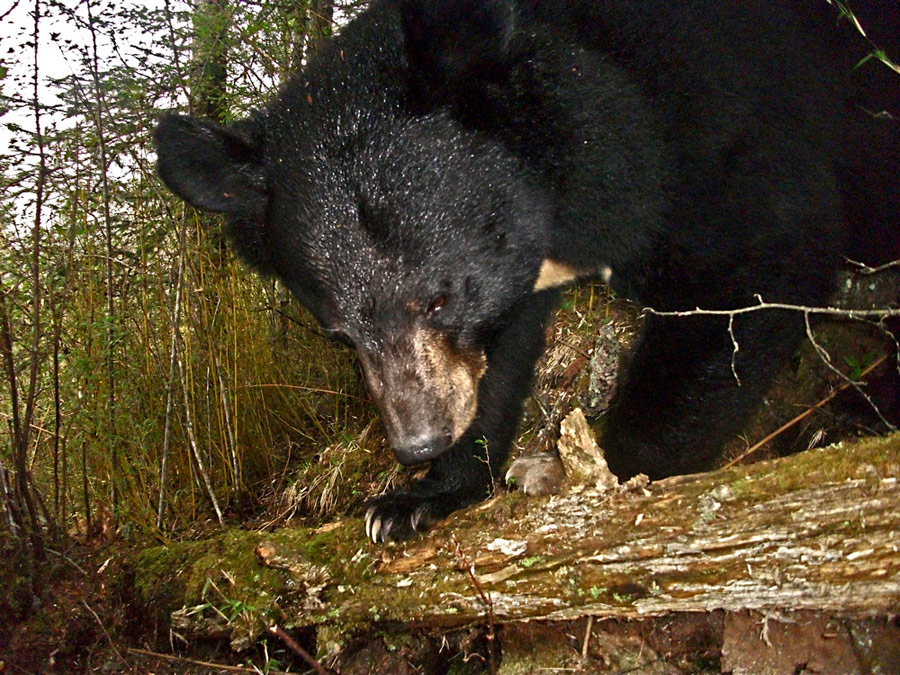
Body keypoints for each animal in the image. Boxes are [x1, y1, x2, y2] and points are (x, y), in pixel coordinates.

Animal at [156, 0, 900, 540]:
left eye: (439, 297)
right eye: (339, 332)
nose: (418, 441)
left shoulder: (719, 126)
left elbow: (753, 269)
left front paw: (595, 469)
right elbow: (498, 364)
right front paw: (418, 498)